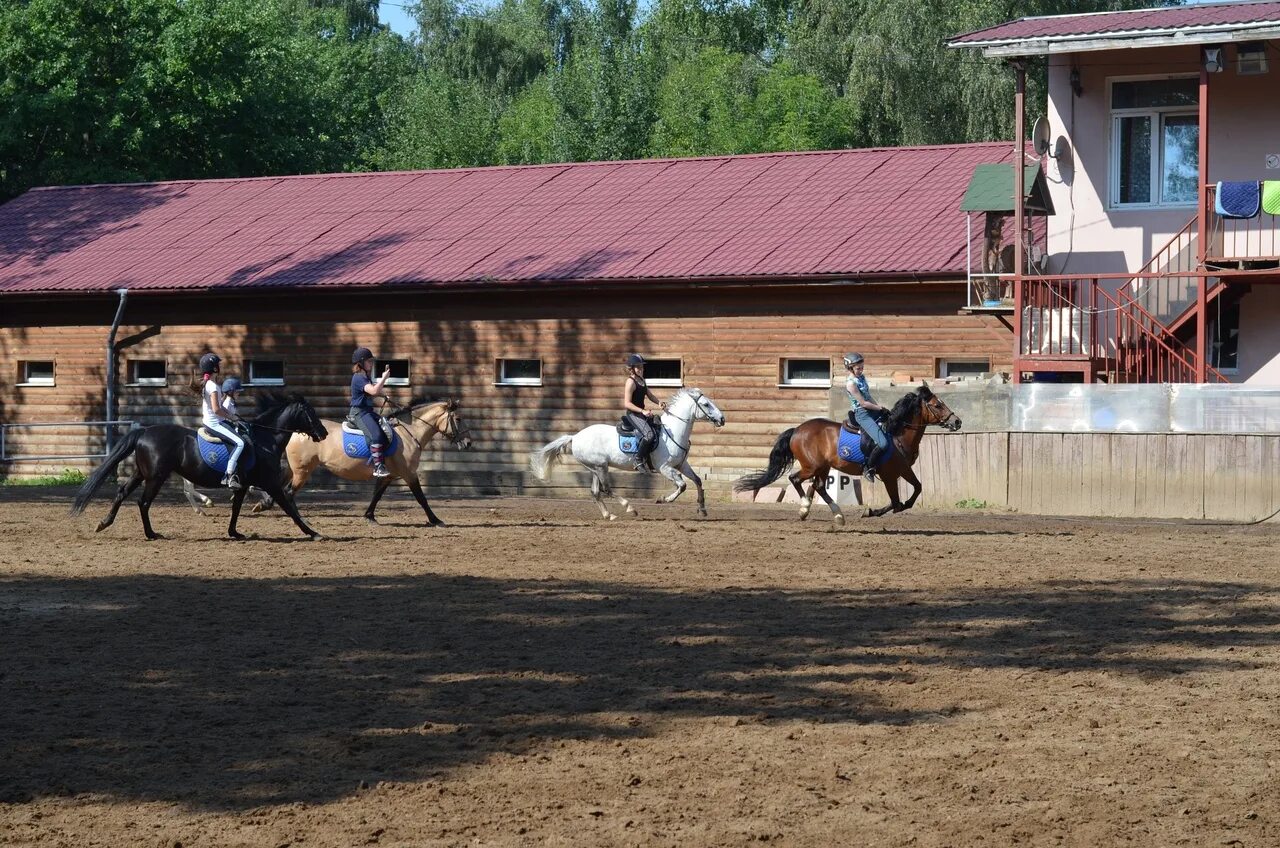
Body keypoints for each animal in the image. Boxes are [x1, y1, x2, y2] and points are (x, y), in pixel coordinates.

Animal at [273, 397, 471, 525]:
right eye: (459, 419)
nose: (468, 443)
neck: (408, 433)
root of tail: (296, 431)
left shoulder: (388, 475)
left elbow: (377, 494)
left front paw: (369, 516)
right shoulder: (409, 474)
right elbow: (421, 498)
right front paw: (435, 520)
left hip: (295, 469)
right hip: (303, 471)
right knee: (289, 492)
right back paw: (301, 520)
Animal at [529, 389, 732, 522]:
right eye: (706, 404)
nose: (722, 419)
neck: (673, 432)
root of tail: (576, 437)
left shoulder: (681, 465)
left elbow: (697, 481)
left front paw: (702, 508)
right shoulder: (664, 468)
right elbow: (682, 486)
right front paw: (663, 499)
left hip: (594, 468)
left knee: (596, 492)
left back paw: (609, 515)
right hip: (600, 467)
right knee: (607, 489)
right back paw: (630, 508)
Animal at [732, 384, 962, 525]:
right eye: (937, 405)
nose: (957, 421)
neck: (897, 433)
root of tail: (797, 429)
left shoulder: (903, 470)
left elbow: (917, 489)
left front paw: (899, 506)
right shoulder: (889, 475)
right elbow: (896, 502)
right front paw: (870, 511)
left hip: (823, 467)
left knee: (819, 486)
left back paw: (836, 515)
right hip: (811, 466)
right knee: (795, 479)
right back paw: (806, 507)